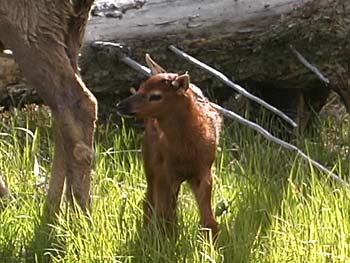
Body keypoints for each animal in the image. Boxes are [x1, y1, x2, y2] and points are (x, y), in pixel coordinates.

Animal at [117, 54, 221, 238]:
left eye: (155, 96)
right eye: (141, 87)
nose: (120, 106)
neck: (187, 149)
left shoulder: (204, 169)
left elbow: (209, 220)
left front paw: (212, 241)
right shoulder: (164, 171)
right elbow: (164, 212)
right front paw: (165, 238)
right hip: (150, 162)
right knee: (150, 201)